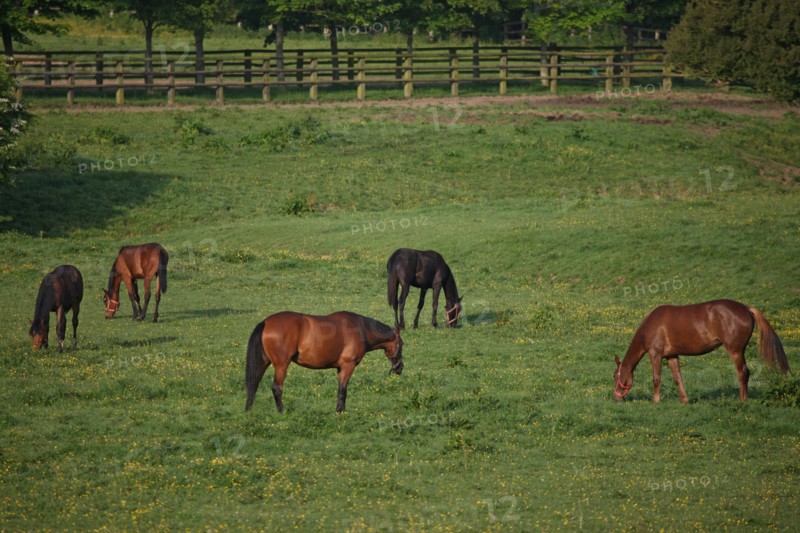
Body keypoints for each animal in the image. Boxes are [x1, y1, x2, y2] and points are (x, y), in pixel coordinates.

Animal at [244, 311, 404, 413]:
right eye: (402, 344)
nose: (400, 368)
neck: (361, 329)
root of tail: (265, 322)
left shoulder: (340, 368)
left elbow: (340, 390)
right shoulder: (348, 366)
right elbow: (343, 391)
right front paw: (340, 412)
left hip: (264, 362)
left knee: (254, 384)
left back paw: (248, 411)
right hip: (281, 365)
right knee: (276, 388)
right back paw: (281, 411)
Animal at [614, 299, 790, 403]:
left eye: (616, 376)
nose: (615, 397)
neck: (652, 325)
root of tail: (746, 308)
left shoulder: (655, 354)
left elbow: (656, 378)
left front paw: (655, 401)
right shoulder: (671, 356)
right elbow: (678, 378)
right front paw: (684, 400)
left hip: (735, 351)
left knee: (743, 373)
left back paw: (742, 400)